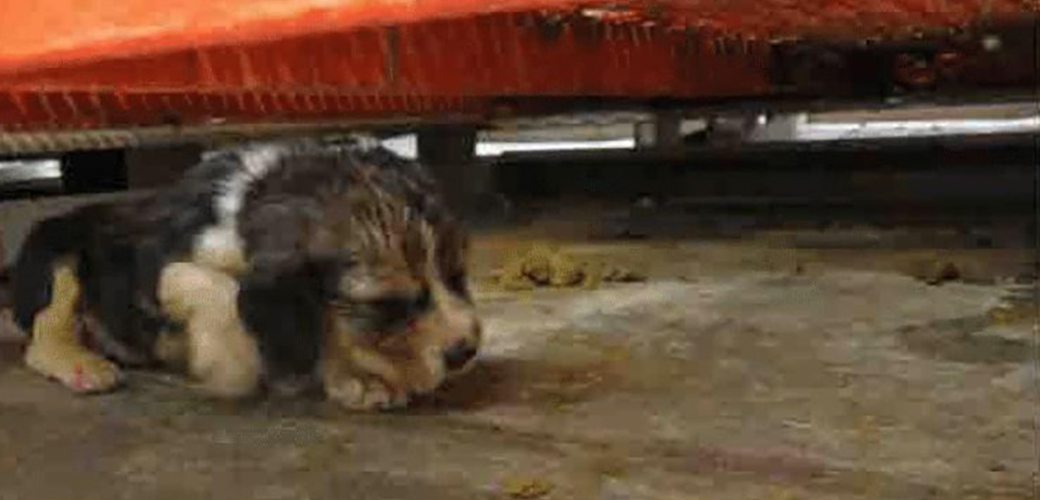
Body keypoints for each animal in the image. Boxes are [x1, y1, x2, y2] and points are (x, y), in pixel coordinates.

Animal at [10, 135, 480, 409]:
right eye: (389, 305)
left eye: (458, 277)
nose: (466, 352)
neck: (250, 200)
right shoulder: (159, 270)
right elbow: (223, 293)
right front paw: (228, 365)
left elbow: (319, 326)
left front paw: (354, 377)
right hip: (60, 253)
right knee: (43, 334)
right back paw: (80, 363)